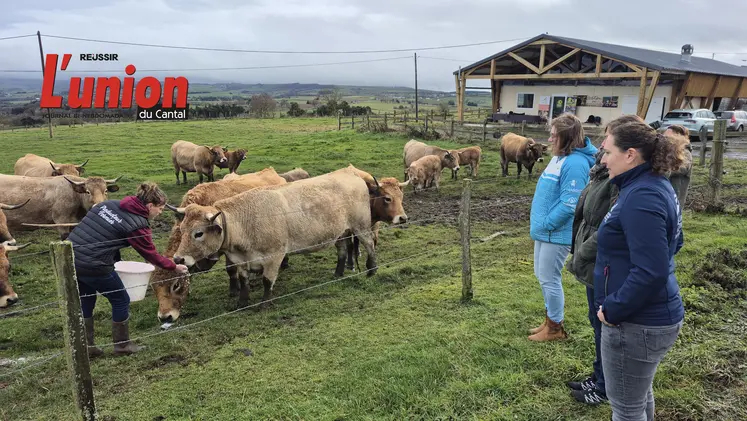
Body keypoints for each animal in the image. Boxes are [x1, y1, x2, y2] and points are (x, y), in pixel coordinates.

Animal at [172, 170, 377, 312]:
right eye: (182, 230)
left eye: (198, 233)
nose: (178, 259)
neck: (245, 221)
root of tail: (351, 174)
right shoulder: (241, 260)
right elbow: (243, 280)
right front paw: (242, 302)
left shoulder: (274, 256)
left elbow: (267, 280)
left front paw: (265, 303)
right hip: (340, 233)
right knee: (342, 251)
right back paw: (338, 273)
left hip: (361, 227)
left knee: (370, 244)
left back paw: (372, 269)